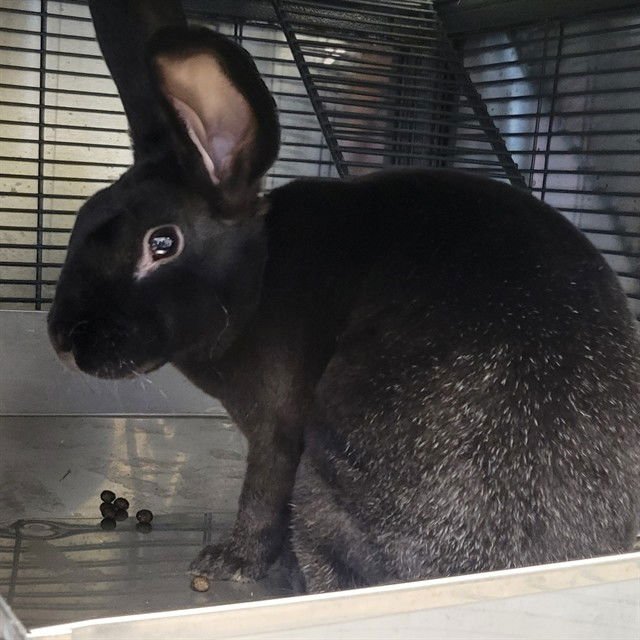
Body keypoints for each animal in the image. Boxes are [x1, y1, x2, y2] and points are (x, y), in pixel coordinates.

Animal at [48, 0, 640, 593]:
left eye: (163, 243)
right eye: (82, 219)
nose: (62, 338)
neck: (257, 278)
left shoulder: (278, 433)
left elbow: (260, 498)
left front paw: (227, 562)